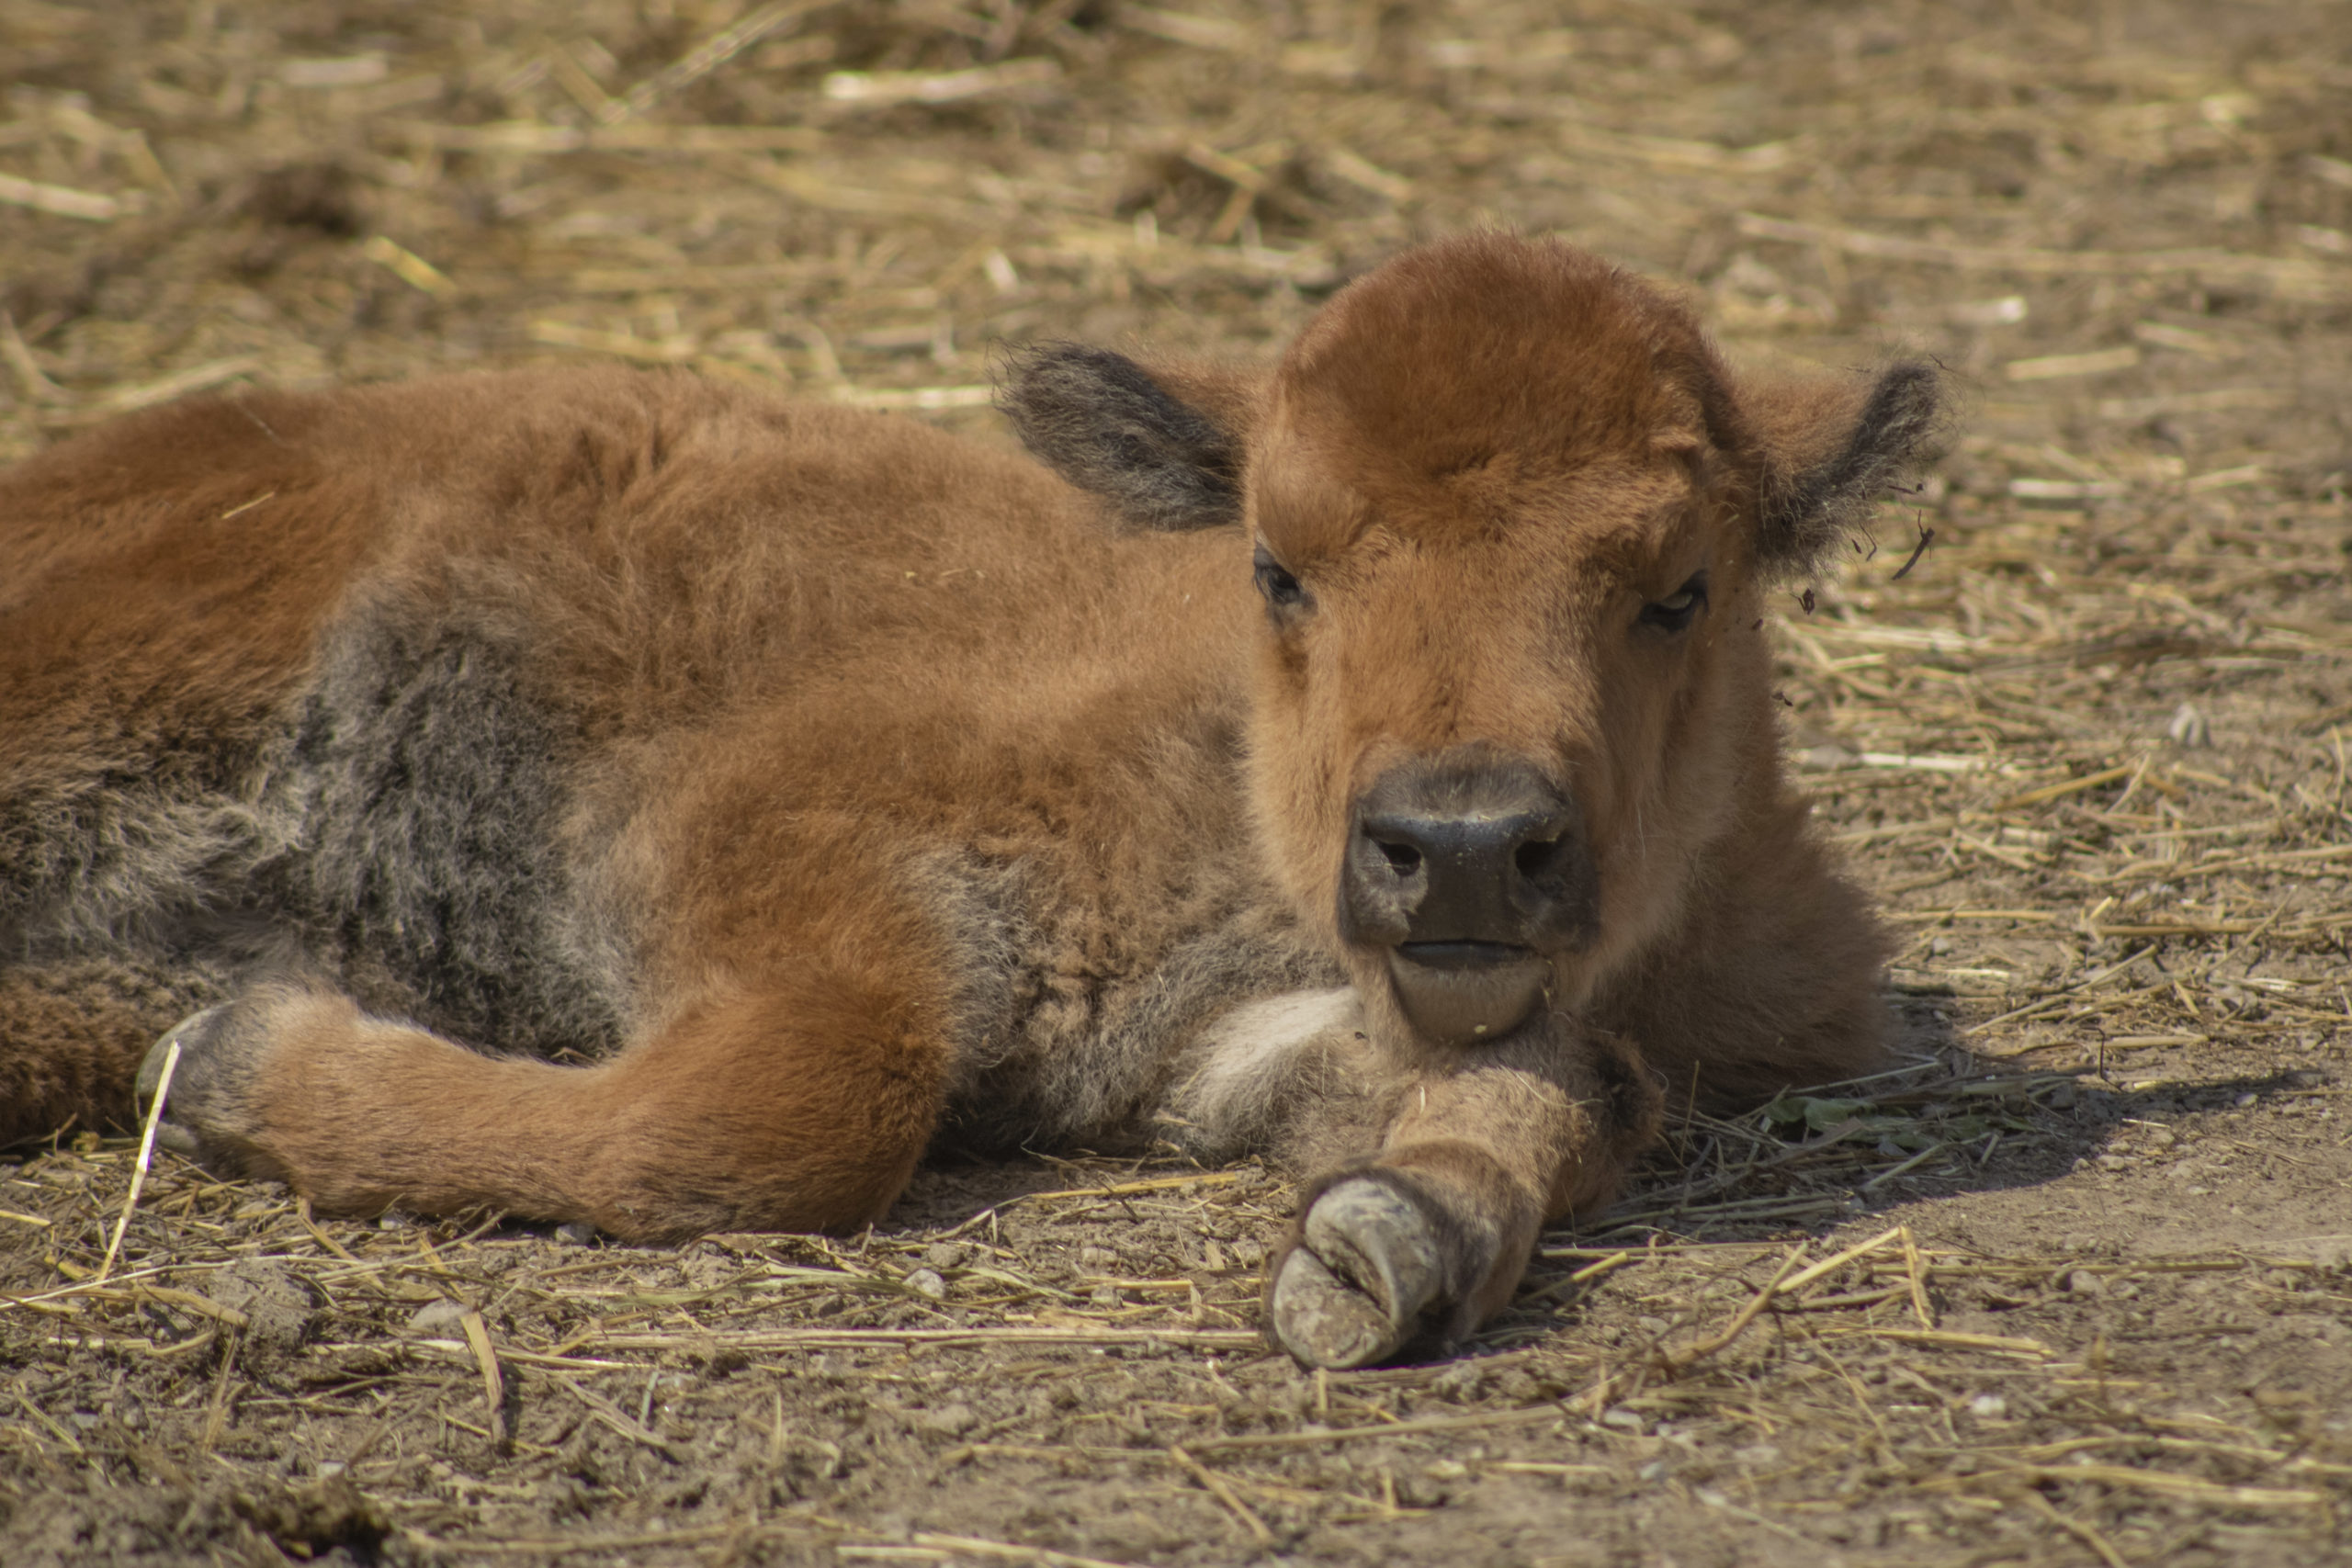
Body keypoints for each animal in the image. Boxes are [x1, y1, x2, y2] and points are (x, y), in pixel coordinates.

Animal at [0, 230, 1947, 1363]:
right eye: (1279, 565)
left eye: (1679, 584)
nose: (1459, 846)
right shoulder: (751, 842)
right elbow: (796, 1106)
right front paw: (245, 1066)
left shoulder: (1241, 1044)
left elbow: (1568, 1085)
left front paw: (1392, 1243)